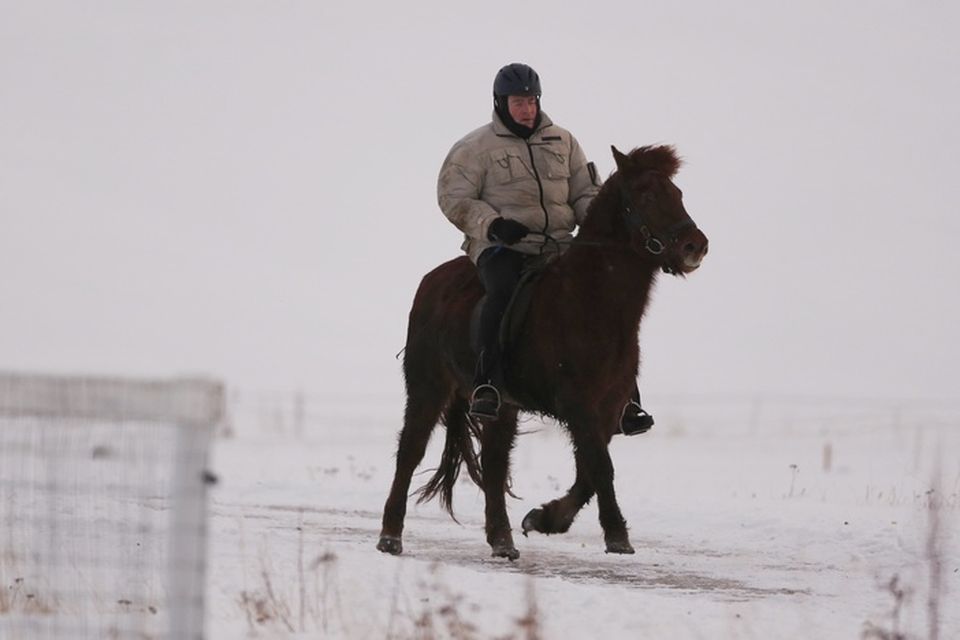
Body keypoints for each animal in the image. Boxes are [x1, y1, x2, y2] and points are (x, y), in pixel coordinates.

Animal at [376, 142, 704, 556]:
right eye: (646, 194)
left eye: (677, 193)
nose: (696, 246)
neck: (591, 302)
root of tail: (433, 281)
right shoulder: (577, 403)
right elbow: (600, 466)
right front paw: (616, 535)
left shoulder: (607, 408)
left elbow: (589, 470)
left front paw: (545, 519)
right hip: (427, 387)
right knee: (411, 450)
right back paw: (390, 536)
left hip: (501, 405)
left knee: (495, 462)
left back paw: (502, 540)